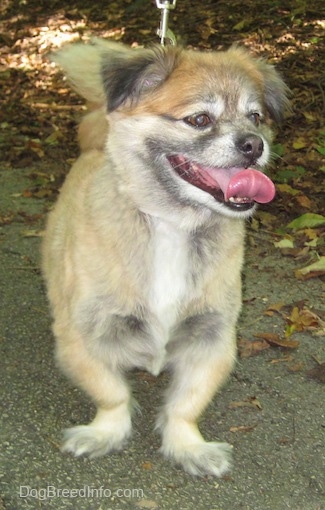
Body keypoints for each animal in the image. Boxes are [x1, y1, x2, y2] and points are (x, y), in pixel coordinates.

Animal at [43, 40, 288, 478]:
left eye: (255, 117)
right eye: (199, 119)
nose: (254, 144)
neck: (172, 224)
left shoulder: (212, 341)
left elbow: (186, 404)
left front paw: (188, 447)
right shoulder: (83, 337)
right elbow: (111, 393)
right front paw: (105, 434)